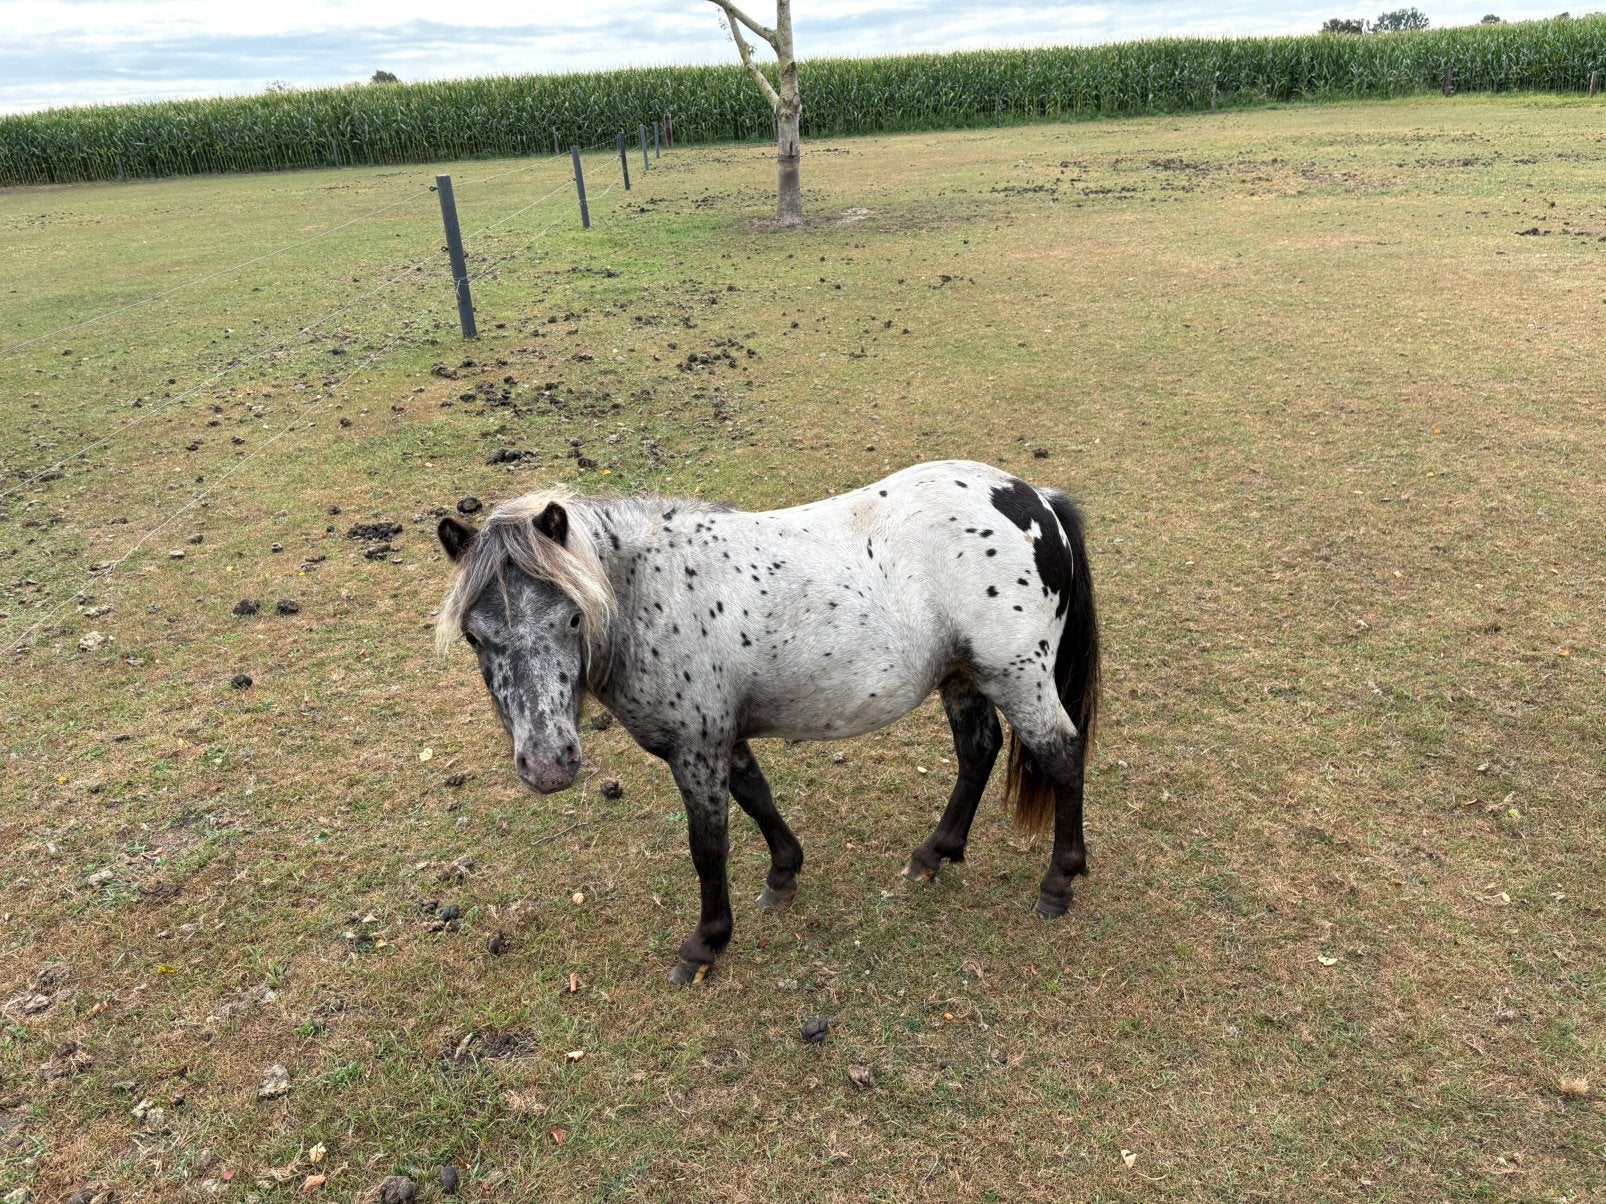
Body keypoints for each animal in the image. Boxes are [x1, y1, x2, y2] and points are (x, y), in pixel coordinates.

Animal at [435, 459, 1101, 984]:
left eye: (573, 618)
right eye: (473, 636)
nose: (548, 764)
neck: (650, 593)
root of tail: (1035, 499)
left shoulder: (696, 747)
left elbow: (708, 844)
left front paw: (705, 943)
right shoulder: (721, 737)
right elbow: (756, 795)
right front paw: (784, 873)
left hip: (1016, 676)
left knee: (1063, 755)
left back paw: (1058, 883)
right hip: (963, 676)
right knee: (978, 750)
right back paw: (935, 854)